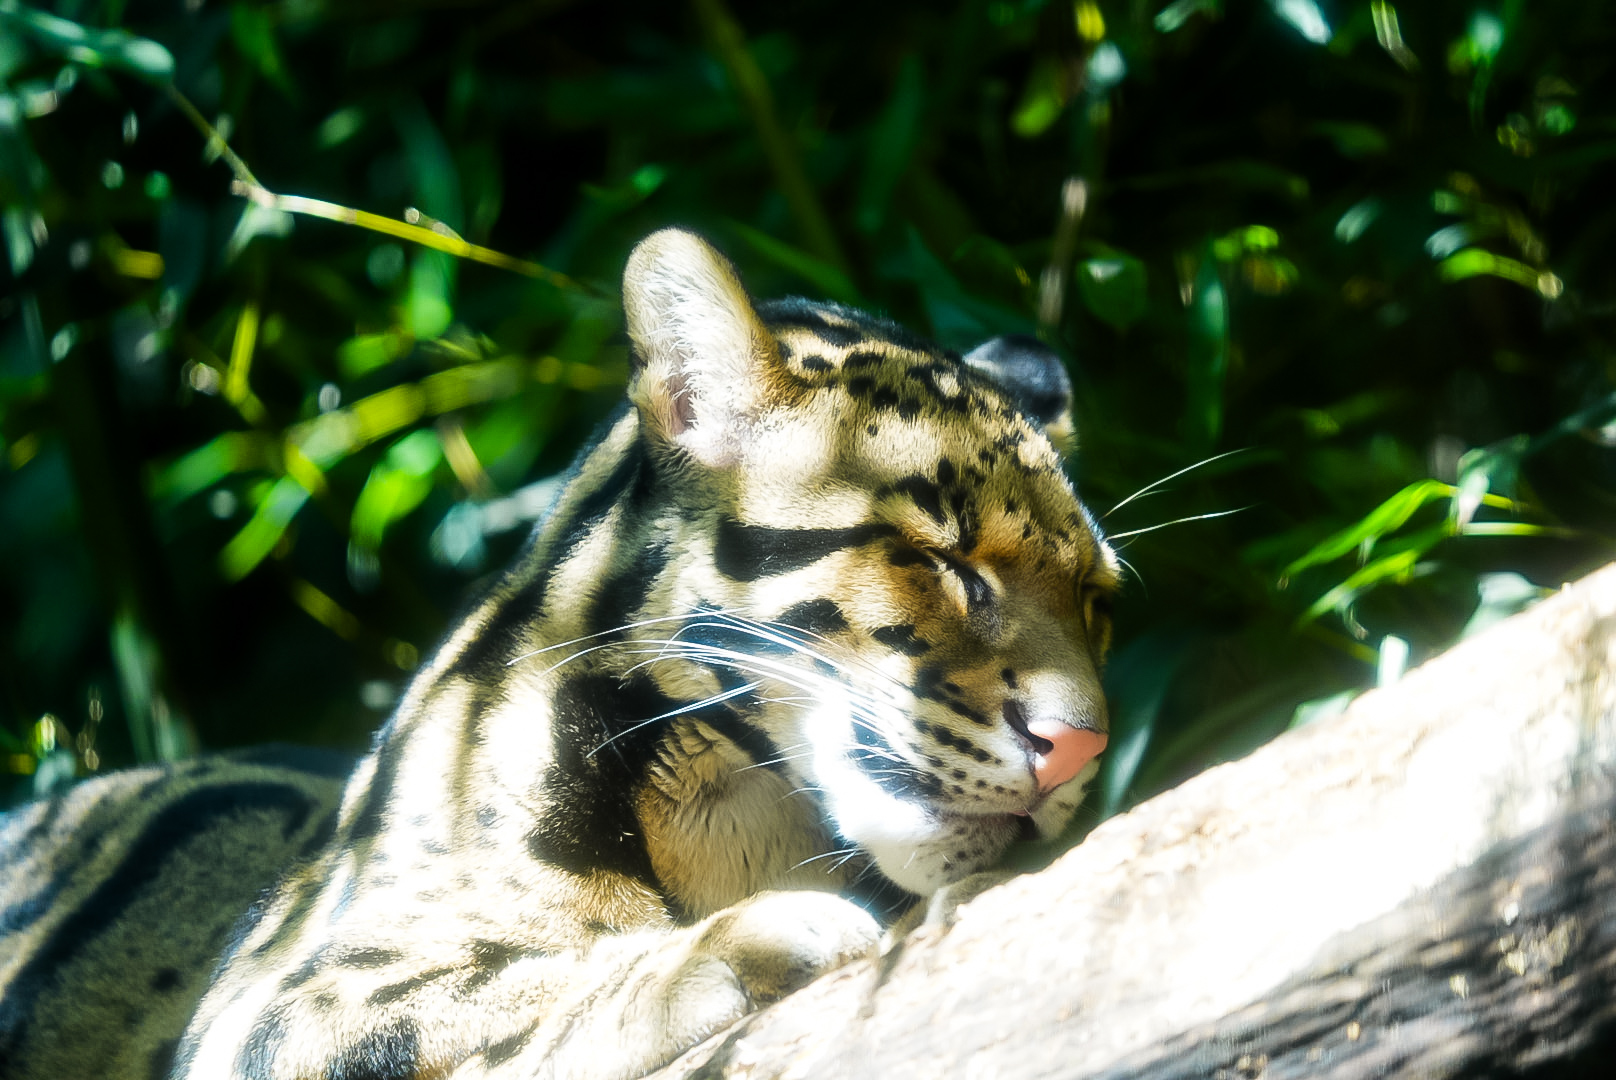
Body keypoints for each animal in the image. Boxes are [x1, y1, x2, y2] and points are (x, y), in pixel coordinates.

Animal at [0, 229, 1119, 1080]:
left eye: (1095, 601)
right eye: (939, 560)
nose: (1080, 749)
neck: (734, 806)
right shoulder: (276, 997)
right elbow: (492, 995)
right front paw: (727, 946)